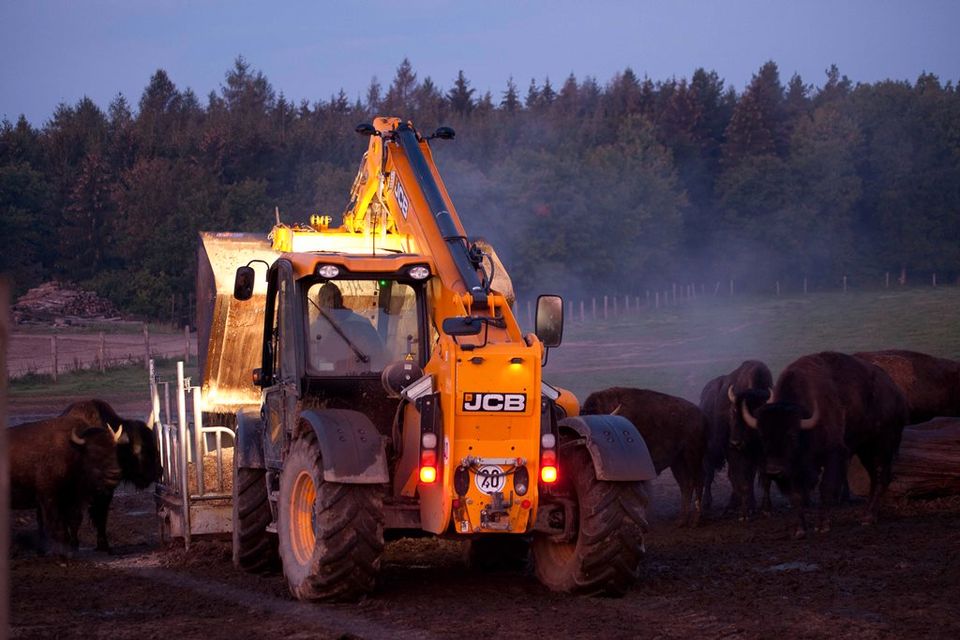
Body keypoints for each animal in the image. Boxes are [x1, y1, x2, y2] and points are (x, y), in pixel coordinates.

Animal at [10, 418, 123, 552]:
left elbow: (73, 521)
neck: (74, 452)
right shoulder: (49, 499)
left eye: (115, 449)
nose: (115, 473)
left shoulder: (73, 500)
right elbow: (56, 525)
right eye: (94, 451)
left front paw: (73, 545)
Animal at [61, 398, 161, 552]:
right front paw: (73, 544)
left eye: (154, 445)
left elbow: (101, 516)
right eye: (138, 449)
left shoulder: (106, 492)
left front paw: (103, 544)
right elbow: (76, 516)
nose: (158, 471)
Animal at [576, 384, 704, 524]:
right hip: (677, 462)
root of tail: (701, 416)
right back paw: (680, 521)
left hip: (692, 456)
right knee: (686, 485)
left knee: (697, 481)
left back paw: (695, 521)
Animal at [696, 360, 772, 516]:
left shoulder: (758, 452)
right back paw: (706, 503)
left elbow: (752, 475)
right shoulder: (730, 450)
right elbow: (735, 475)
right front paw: (734, 506)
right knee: (709, 473)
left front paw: (754, 505)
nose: (736, 442)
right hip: (710, 452)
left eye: (755, 412)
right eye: (733, 411)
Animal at [744, 352, 908, 536]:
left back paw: (868, 517)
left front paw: (823, 526)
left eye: (792, 435)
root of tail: (896, 392)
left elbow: (826, 487)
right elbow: (797, 495)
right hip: (865, 450)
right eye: (762, 435)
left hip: (882, 445)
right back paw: (867, 514)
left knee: (881, 476)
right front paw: (800, 530)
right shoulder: (794, 469)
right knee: (874, 477)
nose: (773, 471)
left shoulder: (833, 455)